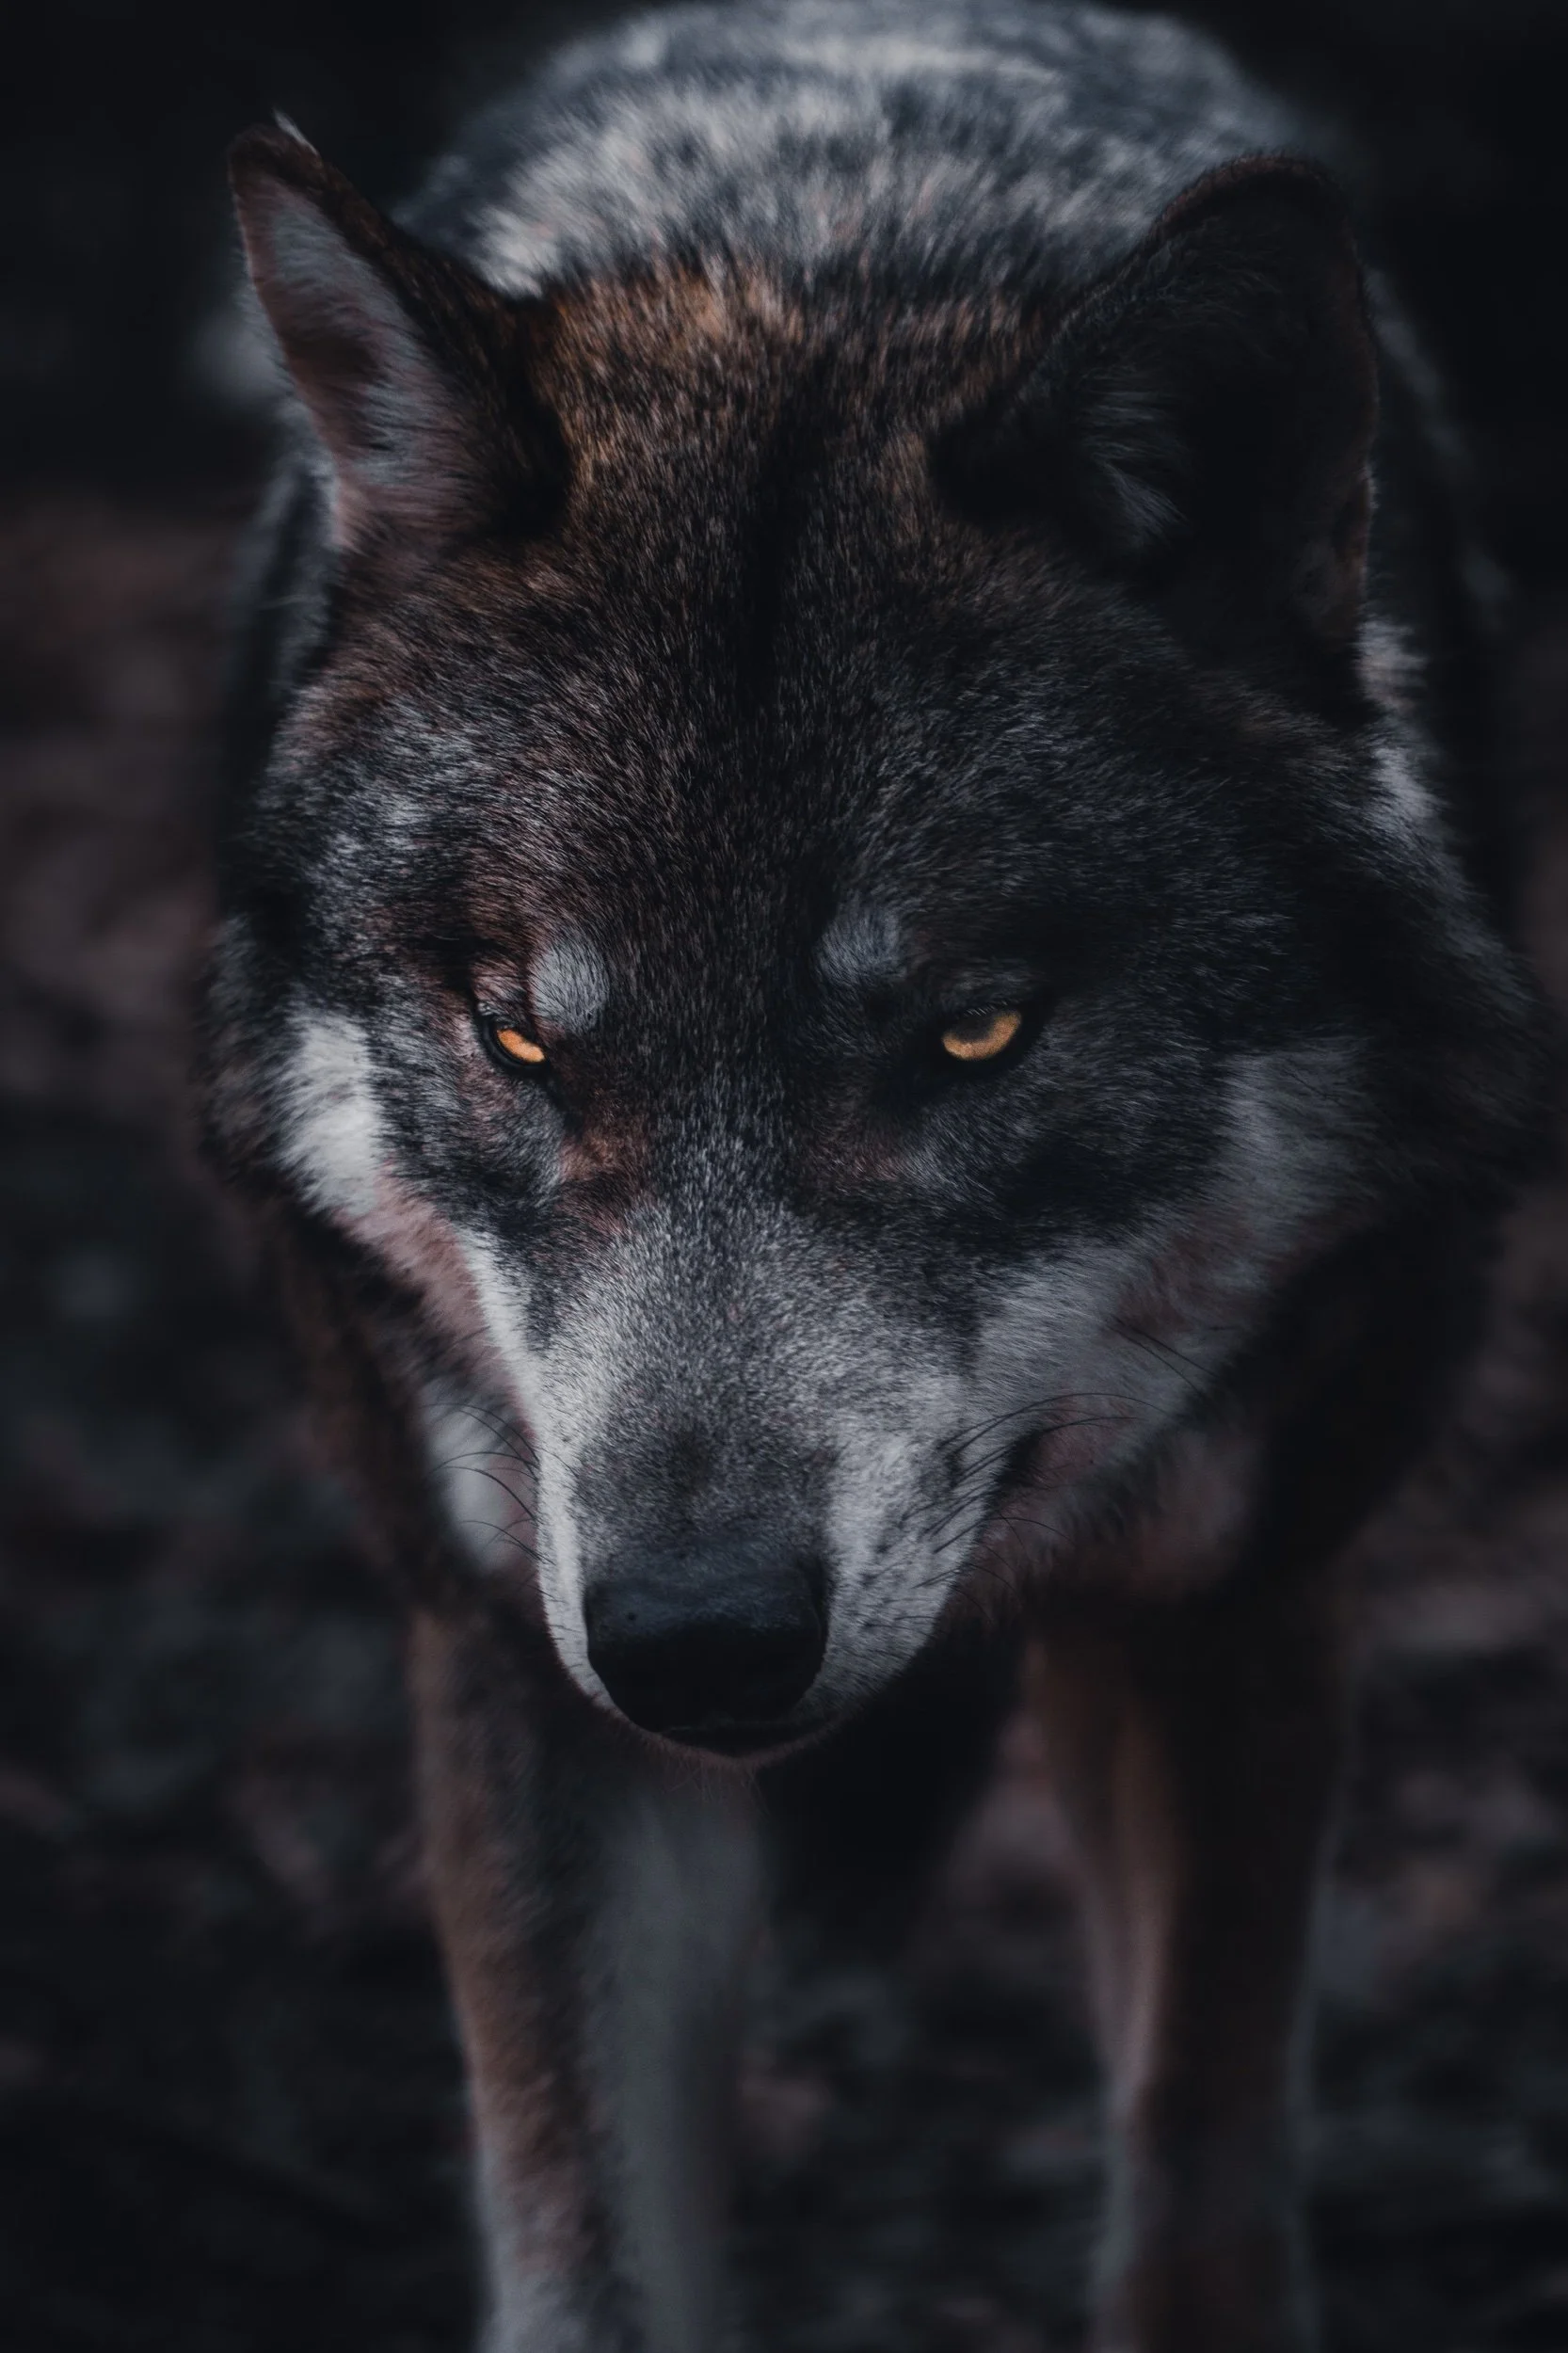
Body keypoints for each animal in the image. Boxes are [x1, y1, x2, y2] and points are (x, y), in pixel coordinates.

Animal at [208, 2, 1545, 2346]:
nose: (693, 1637)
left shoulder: (1237, 1600)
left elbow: (1197, 2174)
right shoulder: (512, 1652)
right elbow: (587, 2253)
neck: (822, 251)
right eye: (522, 1037)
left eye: (971, 1031)